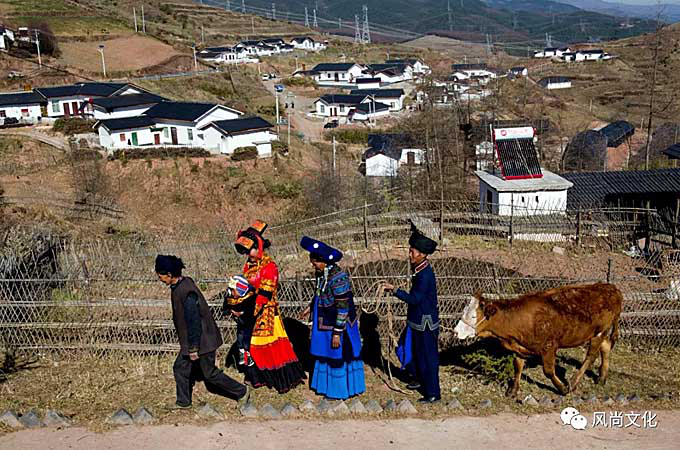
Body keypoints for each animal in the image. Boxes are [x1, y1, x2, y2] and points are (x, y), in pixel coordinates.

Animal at [454, 283, 622, 397]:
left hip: (599, 333)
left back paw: (573, 382)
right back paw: (601, 378)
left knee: (590, 357)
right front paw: (513, 391)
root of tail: (610, 287)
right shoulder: (520, 347)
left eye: (474, 316)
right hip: (599, 333)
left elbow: (548, 371)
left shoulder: (549, 347)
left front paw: (562, 388)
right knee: (606, 346)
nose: (455, 332)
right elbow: (518, 367)